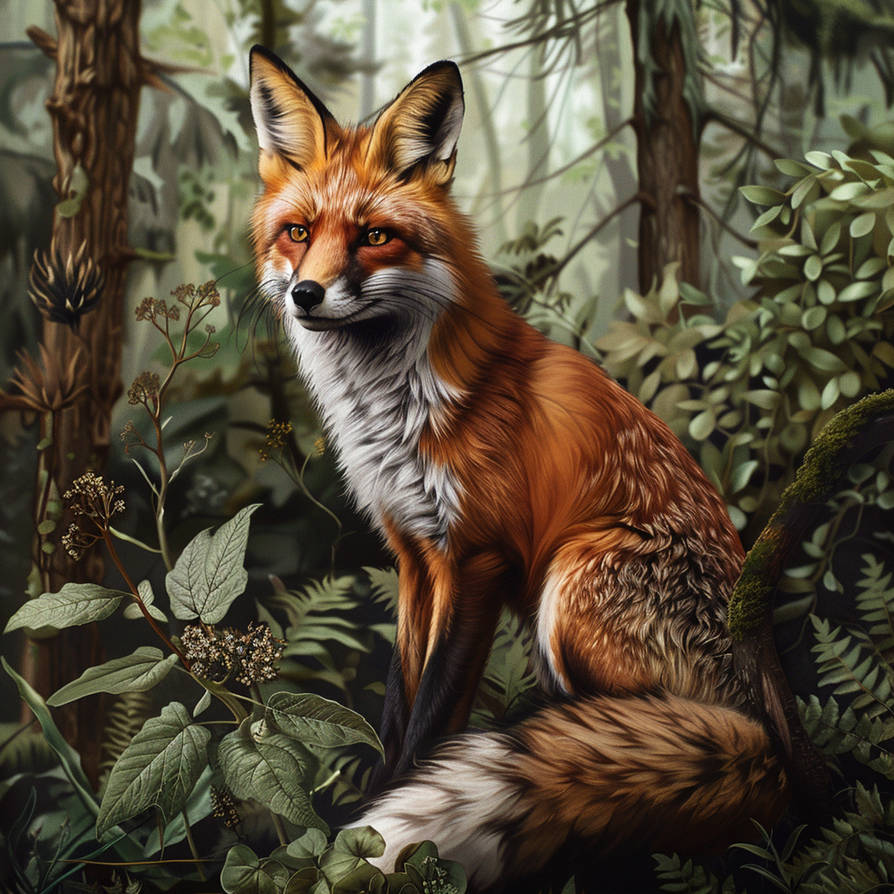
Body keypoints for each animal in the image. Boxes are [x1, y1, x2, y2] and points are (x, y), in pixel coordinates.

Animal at [248, 46, 789, 888]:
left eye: (373, 236)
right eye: (298, 232)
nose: (307, 294)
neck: (396, 408)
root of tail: (778, 747)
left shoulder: (479, 557)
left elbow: (433, 718)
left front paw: (383, 841)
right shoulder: (415, 555)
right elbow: (398, 708)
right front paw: (364, 815)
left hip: (570, 585)